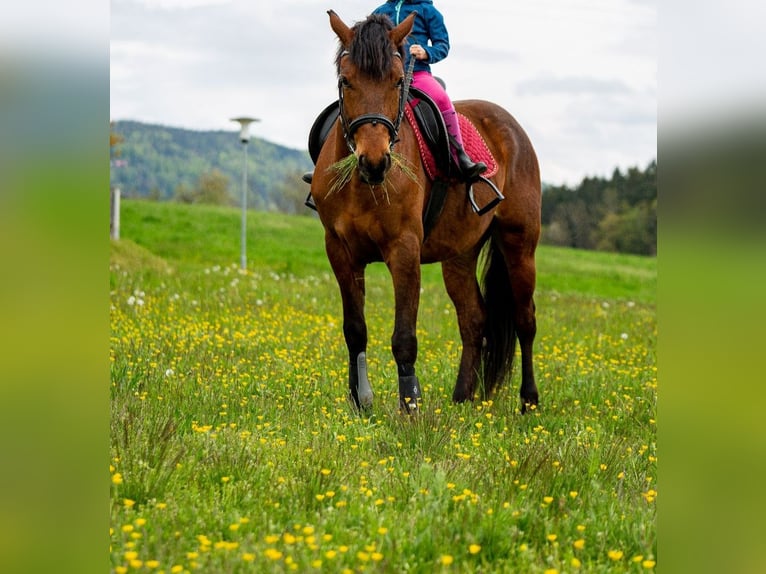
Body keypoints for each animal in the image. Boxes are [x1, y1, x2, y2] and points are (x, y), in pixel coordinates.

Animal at [310, 9, 540, 414]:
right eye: (345, 80)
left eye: (397, 81)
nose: (374, 161)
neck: (361, 184)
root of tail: (511, 127)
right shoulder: (340, 251)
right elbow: (355, 330)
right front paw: (360, 401)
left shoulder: (404, 250)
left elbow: (404, 336)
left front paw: (410, 405)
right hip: (459, 256)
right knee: (474, 319)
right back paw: (462, 398)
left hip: (520, 245)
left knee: (525, 319)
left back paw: (528, 401)